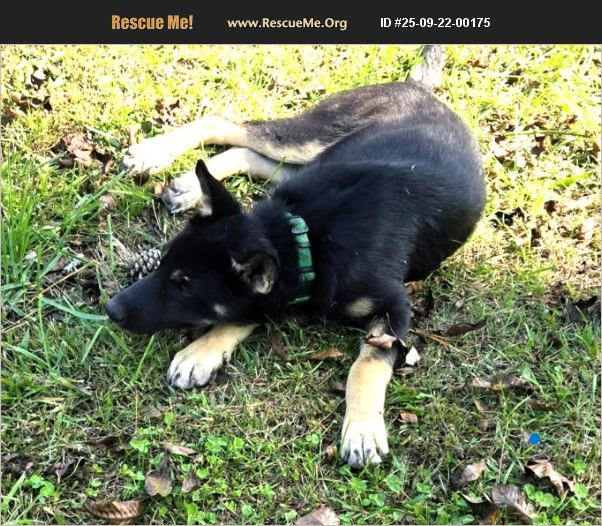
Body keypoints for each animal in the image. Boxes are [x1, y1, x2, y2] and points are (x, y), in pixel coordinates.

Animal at [106, 46, 485, 469]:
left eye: (182, 285)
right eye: (164, 265)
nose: (110, 309)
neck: (307, 239)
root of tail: (419, 88)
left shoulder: (394, 310)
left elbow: (366, 365)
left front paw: (362, 430)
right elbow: (252, 311)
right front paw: (201, 352)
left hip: (312, 149)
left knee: (253, 152)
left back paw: (187, 183)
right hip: (312, 138)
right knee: (227, 124)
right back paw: (157, 158)